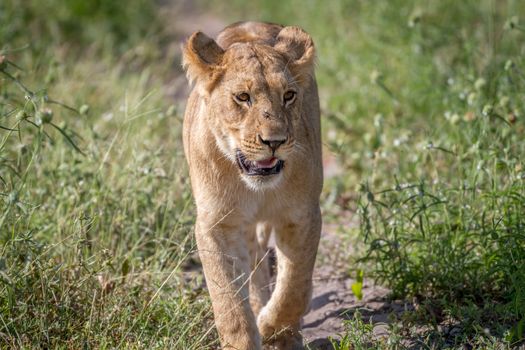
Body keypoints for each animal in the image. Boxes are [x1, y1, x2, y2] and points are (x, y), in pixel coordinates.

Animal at [183, 22, 324, 350]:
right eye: (243, 97)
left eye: (288, 95)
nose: (275, 141)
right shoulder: (216, 224)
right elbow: (229, 300)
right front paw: (248, 336)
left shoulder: (302, 216)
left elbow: (294, 287)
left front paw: (273, 327)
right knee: (256, 264)